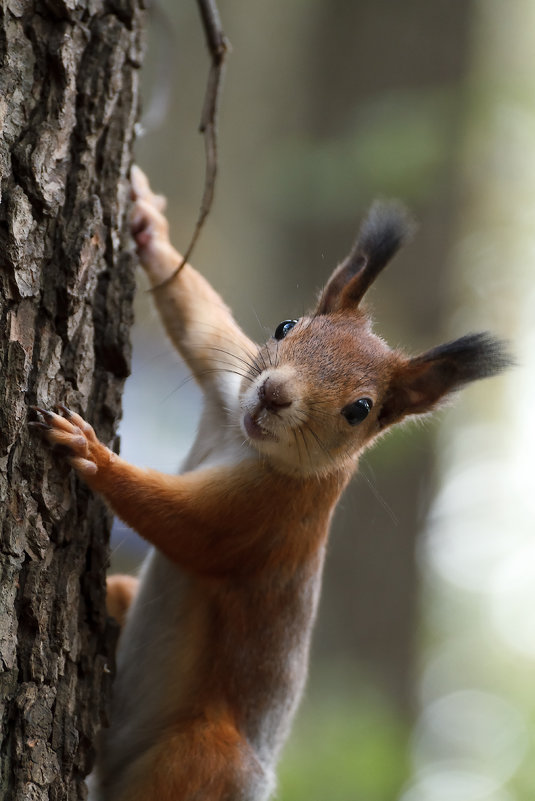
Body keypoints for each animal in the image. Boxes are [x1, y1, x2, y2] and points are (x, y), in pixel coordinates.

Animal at [32, 166, 510, 796]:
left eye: (360, 409)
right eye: (287, 326)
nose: (274, 394)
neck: (245, 440)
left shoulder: (268, 517)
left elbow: (186, 529)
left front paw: (90, 450)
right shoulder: (228, 385)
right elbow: (201, 320)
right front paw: (149, 228)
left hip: (201, 758)